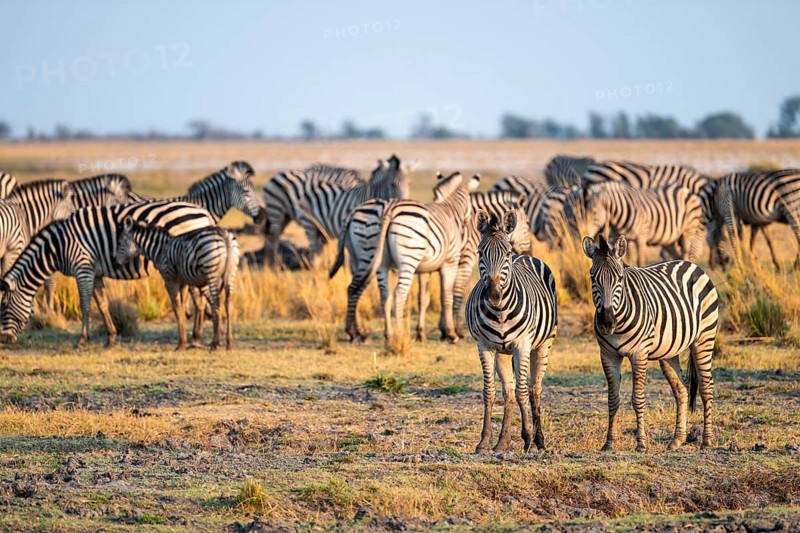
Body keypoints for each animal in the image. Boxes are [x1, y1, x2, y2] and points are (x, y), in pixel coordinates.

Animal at [0, 201, 216, 348]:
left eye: (3, 306)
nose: (4, 339)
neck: (58, 246)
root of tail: (203, 211)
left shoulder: (83, 269)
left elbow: (85, 306)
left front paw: (82, 340)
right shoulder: (94, 273)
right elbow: (102, 304)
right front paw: (111, 337)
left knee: (202, 298)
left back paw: (198, 338)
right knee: (199, 299)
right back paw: (195, 336)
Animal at [115, 216, 239, 351]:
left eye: (120, 243)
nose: (116, 261)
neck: (160, 250)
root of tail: (224, 235)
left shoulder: (169, 279)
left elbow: (176, 307)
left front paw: (180, 344)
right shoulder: (183, 282)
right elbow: (182, 306)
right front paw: (184, 341)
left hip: (211, 273)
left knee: (216, 303)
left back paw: (215, 343)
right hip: (230, 274)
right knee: (228, 304)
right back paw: (229, 343)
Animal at [262, 155, 408, 267]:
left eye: (408, 183)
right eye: (392, 185)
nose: (404, 202)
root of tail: (280, 173)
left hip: (285, 217)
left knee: (274, 241)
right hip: (277, 211)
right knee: (271, 242)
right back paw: (271, 271)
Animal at [466, 210, 558, 453]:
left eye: (505, 253)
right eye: (480, 252)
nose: (493, 294)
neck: (500, 311)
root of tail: (523, 255)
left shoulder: (522, 345)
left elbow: (522, 391)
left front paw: (527, 437)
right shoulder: (484, 346)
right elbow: (490, 391)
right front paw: (484, 441)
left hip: (544, 344)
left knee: (533, 388)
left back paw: (539, 440)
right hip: (502, 353)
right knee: (508, 391)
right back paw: (502, 442)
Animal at [582, 234, 718, 451]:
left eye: (620, 278)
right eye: (593, 279)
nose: (607, 322)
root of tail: (690, 264)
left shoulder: (639, 354)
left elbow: (637, 399)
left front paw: (641, 444)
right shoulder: (608, 355)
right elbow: (613, 399)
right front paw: (608, 443)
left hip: (704, 338)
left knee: (706, 388)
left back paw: (706, 441)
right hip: (670, 350)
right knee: (681, 390)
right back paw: (677, 440)